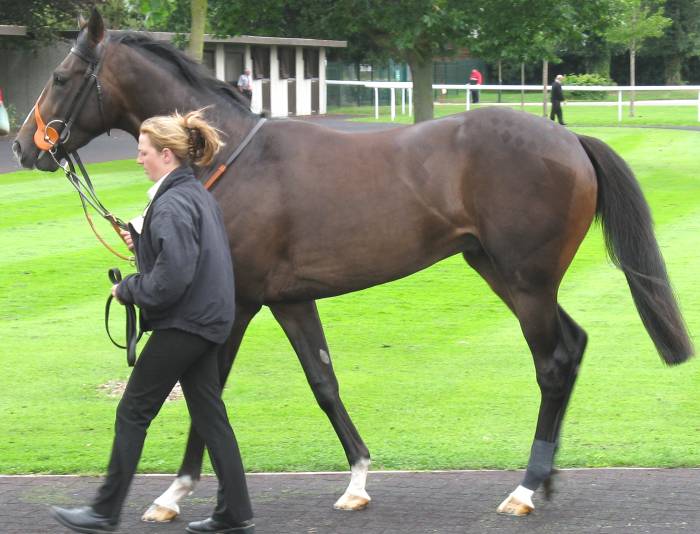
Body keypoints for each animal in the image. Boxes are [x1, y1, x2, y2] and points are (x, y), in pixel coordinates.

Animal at [13, 10, 693, 521]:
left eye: (63, 74)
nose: (24, 146)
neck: (228, 155)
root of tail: (569, 138)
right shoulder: (288, 298)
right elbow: (323, 382)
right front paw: (358, 479)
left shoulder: (237, 303)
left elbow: (209, 391)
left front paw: (174, 493)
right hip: (504, 273)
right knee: (571, 347)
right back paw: (544, 477)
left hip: (526, 282)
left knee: (552, 363)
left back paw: (525, 488)